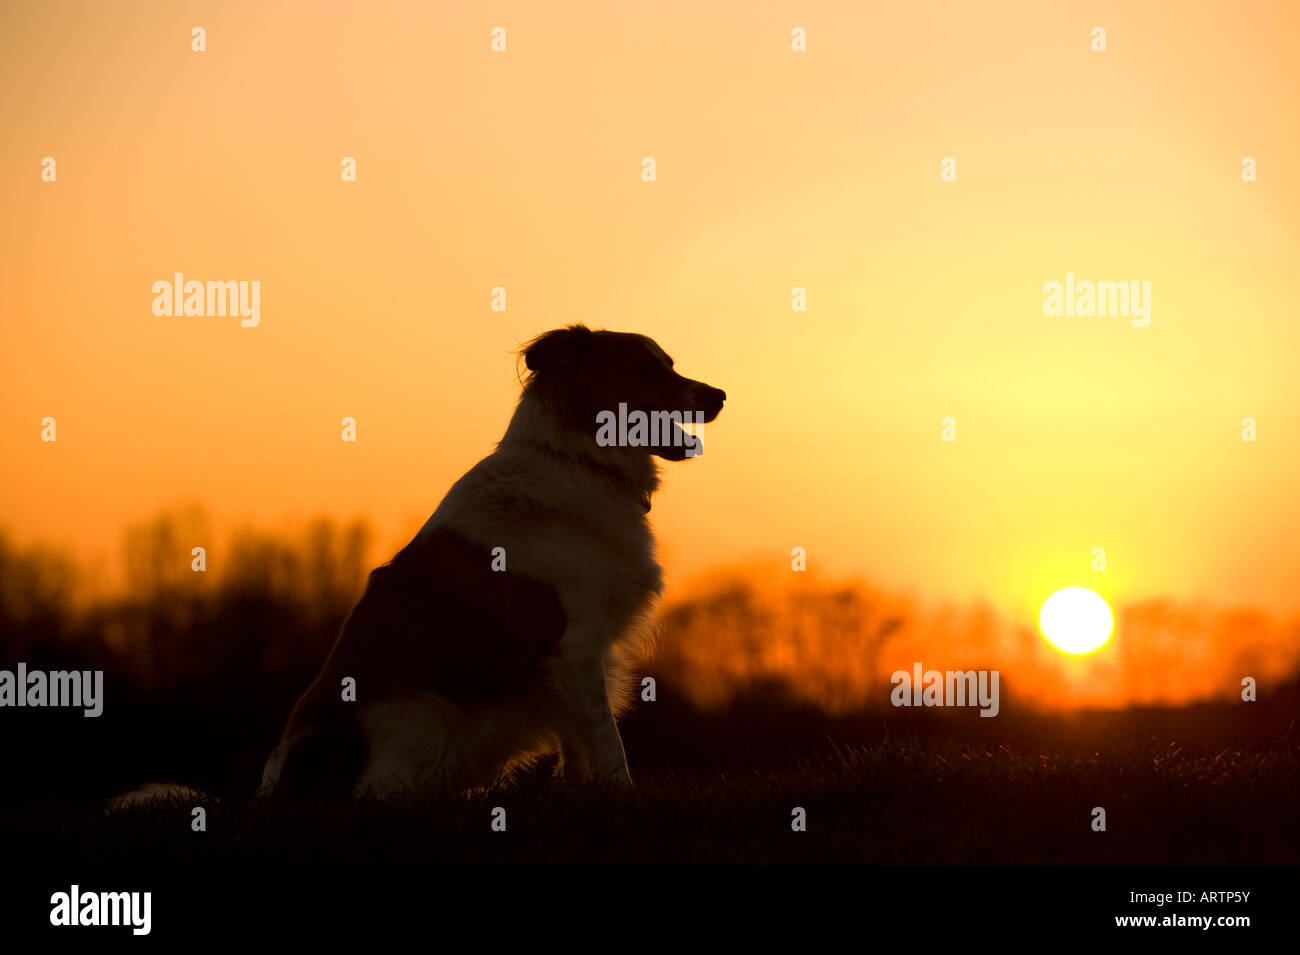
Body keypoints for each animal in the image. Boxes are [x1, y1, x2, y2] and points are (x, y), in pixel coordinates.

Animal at [258, 324, 728, 795]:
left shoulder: (565, 668)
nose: (720, 395)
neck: (580, 462)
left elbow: (575, 741)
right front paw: (623, 792)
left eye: (670, 364)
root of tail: (278, 781)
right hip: (425, 711)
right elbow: (607, 740)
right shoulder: (576, 644)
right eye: (644, 369)